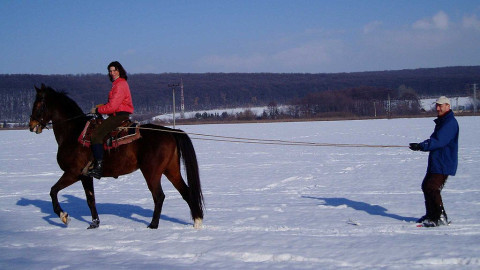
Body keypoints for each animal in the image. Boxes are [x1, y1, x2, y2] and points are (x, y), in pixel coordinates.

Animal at [27, 83, 204, 229]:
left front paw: (64, 216)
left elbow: (53, 191)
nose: (31, 125)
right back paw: (197, 221)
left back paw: (153, 225)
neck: (73, 133)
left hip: (152, 172)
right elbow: (90, 199)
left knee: (159, 196)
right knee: (186, 192)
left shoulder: (73, 173)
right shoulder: (85, 176)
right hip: (171, 170)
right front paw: (94, 223)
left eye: (39, 104)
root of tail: (170, 132)